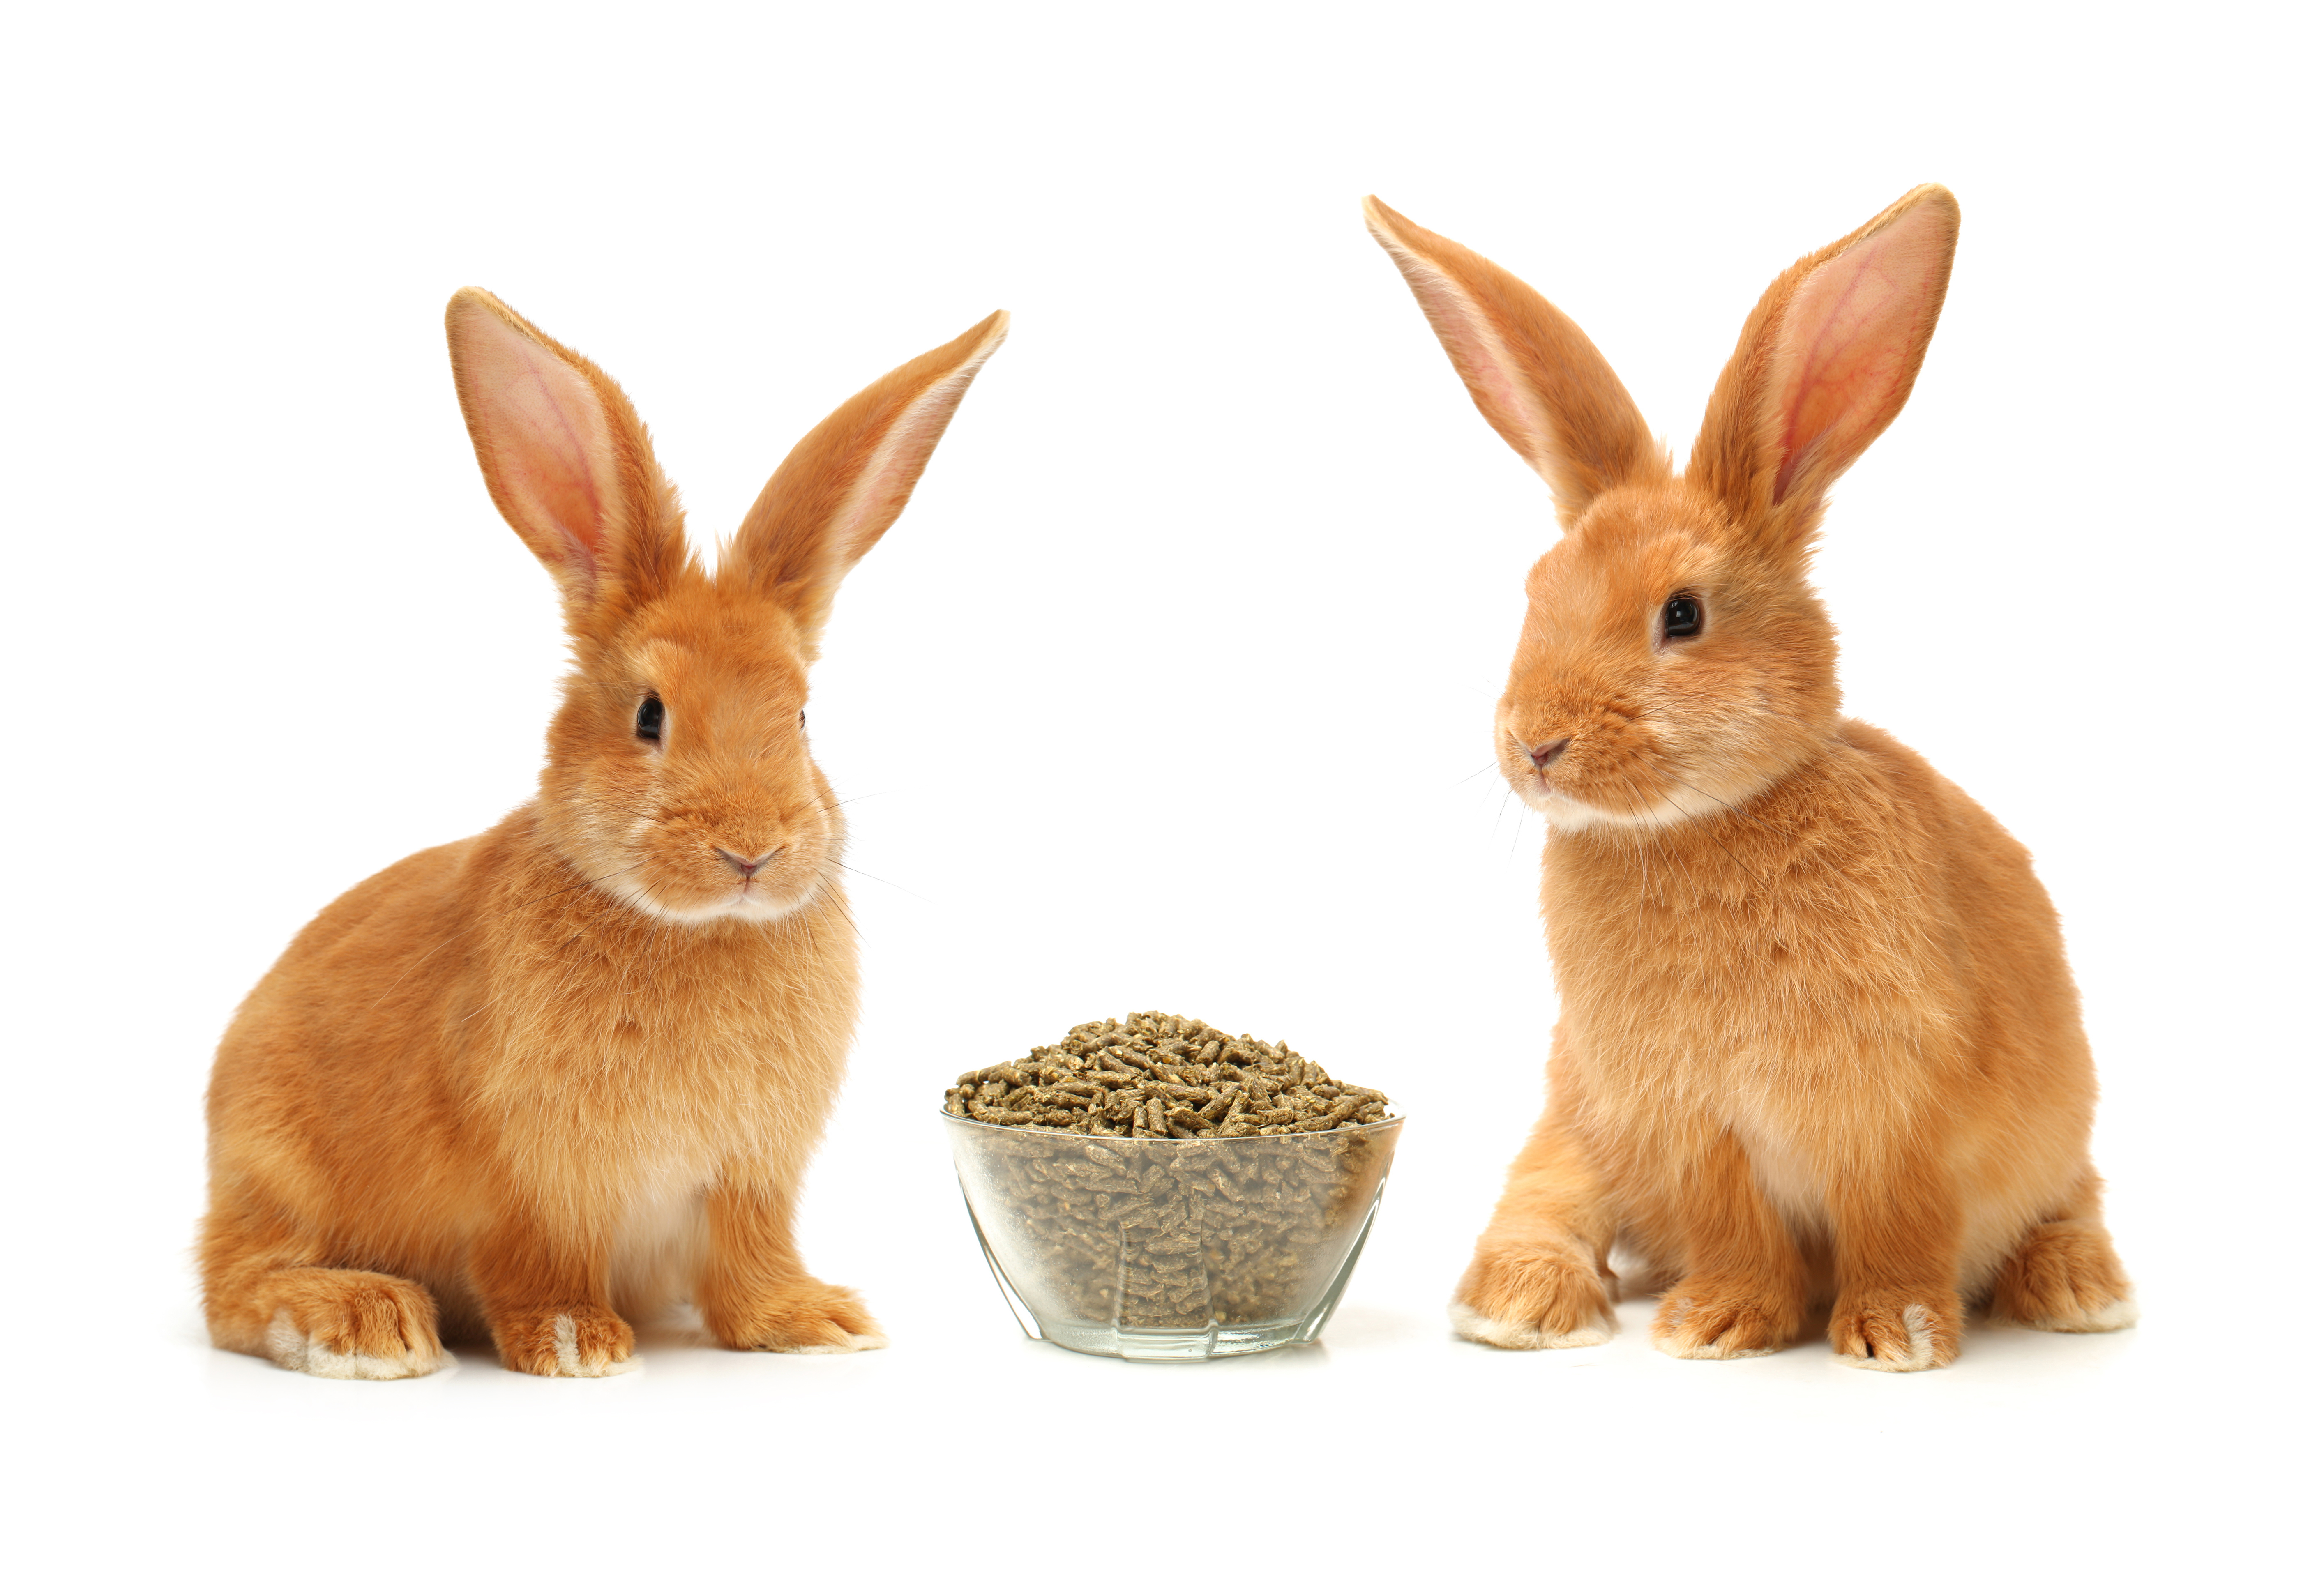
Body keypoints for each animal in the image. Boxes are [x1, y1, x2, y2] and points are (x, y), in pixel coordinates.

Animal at [211, 288, 1018, 1375]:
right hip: (275, 1164)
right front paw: (574, 1340)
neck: (693, 929)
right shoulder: (535, 1179)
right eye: (649, 714)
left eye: (805, 717)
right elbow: (539, 1261)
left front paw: (813, 1322)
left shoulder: (749, 1176)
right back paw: (363, 1321)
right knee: (234, 1283)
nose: (751, 850)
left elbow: (750, 1259)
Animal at [1366, 189, 2128, 1365]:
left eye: (1681, 614)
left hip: (2061, 1136)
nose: (1535, 743)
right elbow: (1737, 1229)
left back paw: (2078, 1290)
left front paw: (1899, 1334)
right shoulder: (1692, 1123)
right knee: (1549, 1194)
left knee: (2066, 1204)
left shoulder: (1901, 1114)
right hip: (1575, 1117)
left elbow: (1899, 1226)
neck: (1702, 822)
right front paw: (1717, 1323)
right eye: (1536, 594)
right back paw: (1515, 1306)